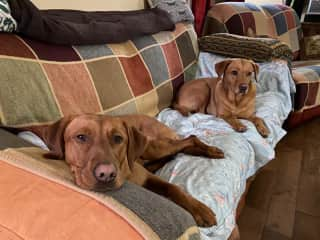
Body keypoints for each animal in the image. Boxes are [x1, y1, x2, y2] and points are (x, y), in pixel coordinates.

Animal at [34, 114, 225, 227]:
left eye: (118, 138)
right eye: (81, 137)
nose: (106, 174)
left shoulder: (148, 178)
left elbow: (174, 188)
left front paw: (199, 209)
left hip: (152, 147)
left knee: (190, 139)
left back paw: (211, 150)